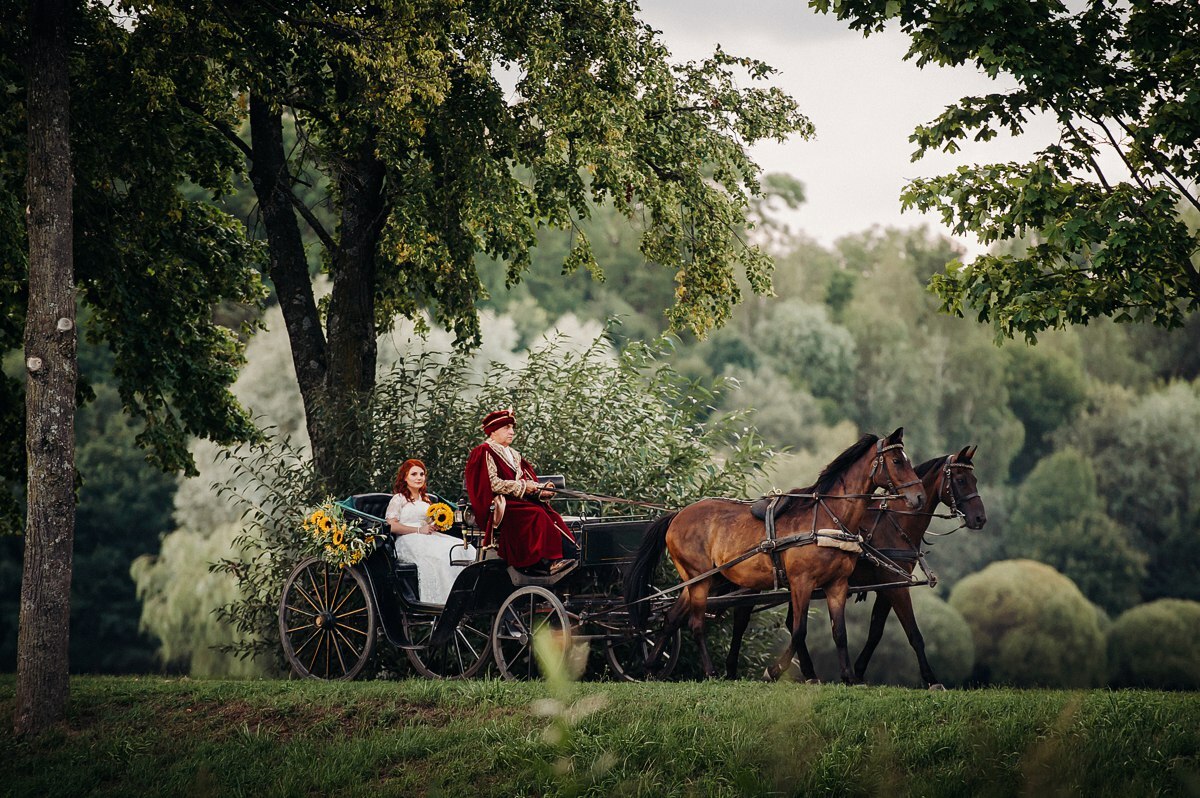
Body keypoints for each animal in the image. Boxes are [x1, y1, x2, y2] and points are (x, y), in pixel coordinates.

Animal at [720, 444, 984, 681]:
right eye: (961, 479)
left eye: (975, 479)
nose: (980, 518)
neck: (894, 522)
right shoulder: (895, 584)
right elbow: (913, 632)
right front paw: (931, 679)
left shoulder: (886, 587)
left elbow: (875, 632)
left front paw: (857, 670)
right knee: (742, 618)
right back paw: (733, 669)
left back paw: (807, 674)